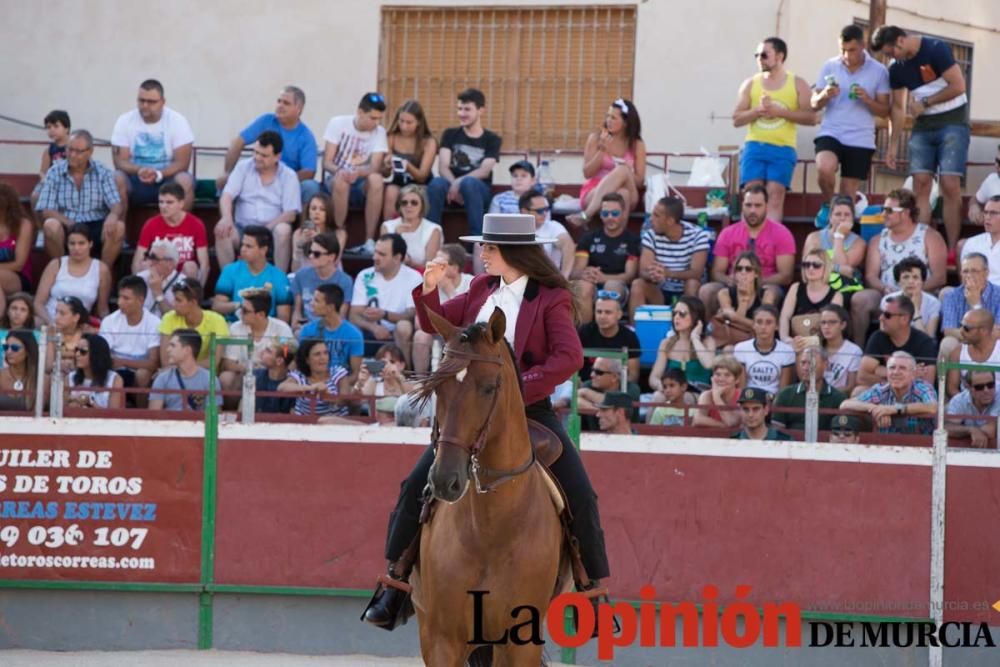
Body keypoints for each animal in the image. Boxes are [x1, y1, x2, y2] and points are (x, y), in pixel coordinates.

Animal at [410, 310, 568, 664]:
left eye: (488, 387)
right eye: (437, 388)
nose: (445, 479)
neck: (492, 528)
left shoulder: (521, 642)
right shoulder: (442, 639)